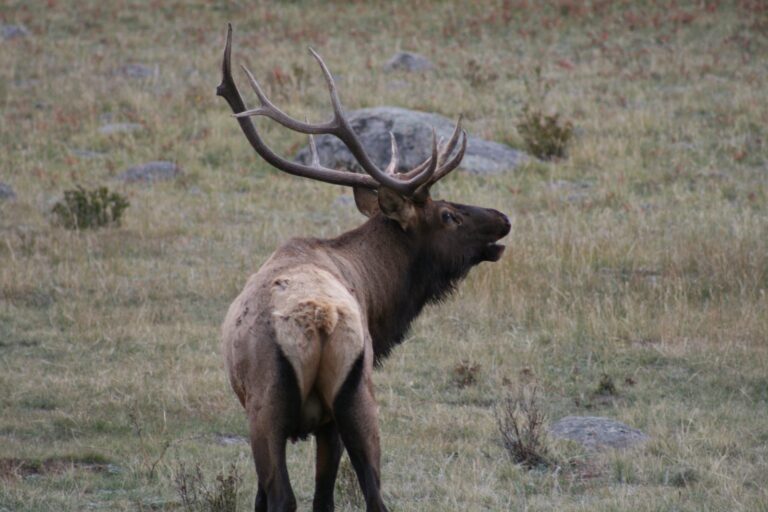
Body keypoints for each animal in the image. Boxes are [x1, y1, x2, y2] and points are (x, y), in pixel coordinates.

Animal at [216, 25, 510, 512]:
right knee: (369, 494)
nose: (503, 218)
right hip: (346, 401)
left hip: (280, 408)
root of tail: (319, 319)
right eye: (448, 214)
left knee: (290, 497)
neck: (377, 303)